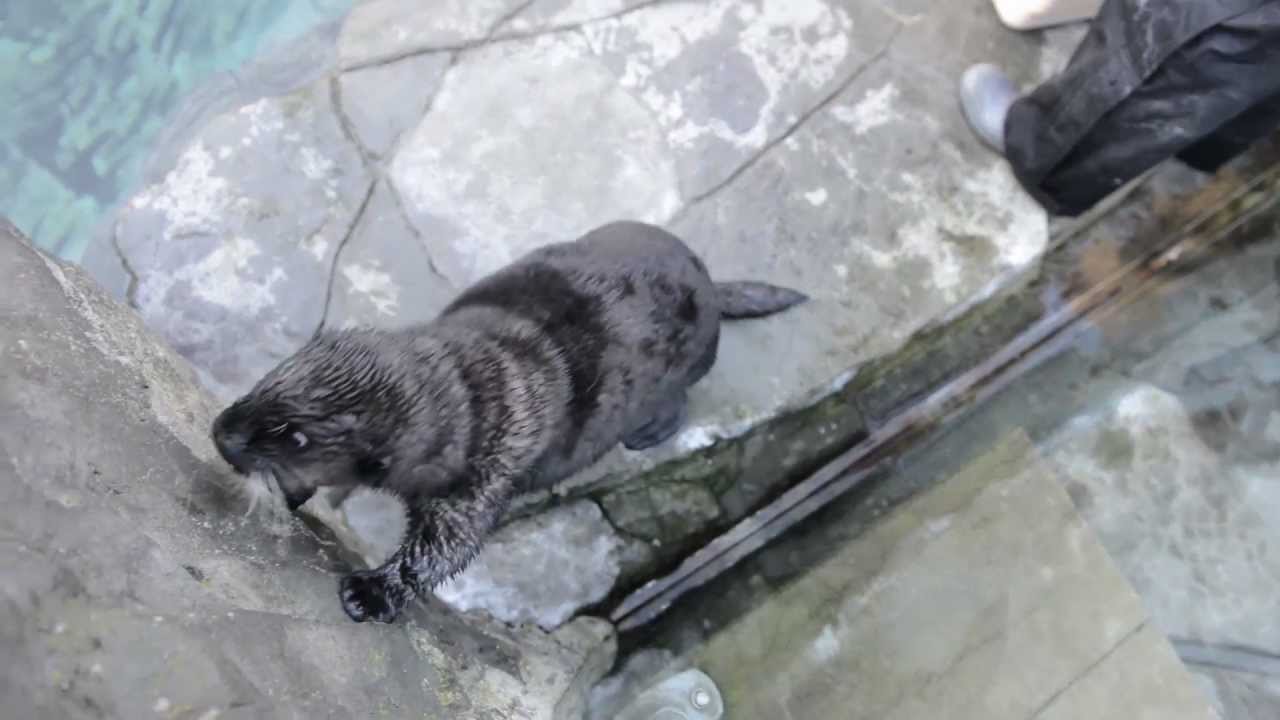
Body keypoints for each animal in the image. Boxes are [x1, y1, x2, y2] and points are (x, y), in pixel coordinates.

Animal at [211, 220, 807, 623]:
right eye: (266, 381)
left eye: (296, 437)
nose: (222, 434)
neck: (467, 379)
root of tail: (706, 280)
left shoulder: (484, 468)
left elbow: (442, 549)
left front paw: (369, 594)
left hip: (688, 364)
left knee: (682, 396)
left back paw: (647, 432)